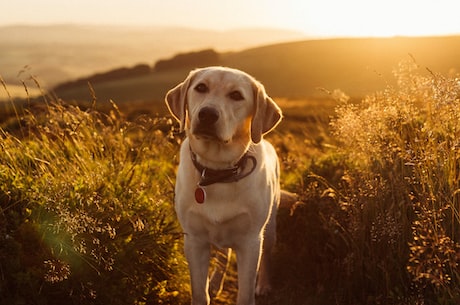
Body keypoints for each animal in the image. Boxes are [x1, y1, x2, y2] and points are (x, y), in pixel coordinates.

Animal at [165, 65, 280, 302]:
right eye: (201, 87)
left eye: (236, 95)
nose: (207, 114)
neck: (217, 171)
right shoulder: (194, 240)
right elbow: (200, 293)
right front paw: (209, 288)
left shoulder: (250, 242)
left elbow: (245, 294)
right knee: (223, 255)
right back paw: (217, 282)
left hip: (270, 228)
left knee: (266, 256)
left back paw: (264, 284)